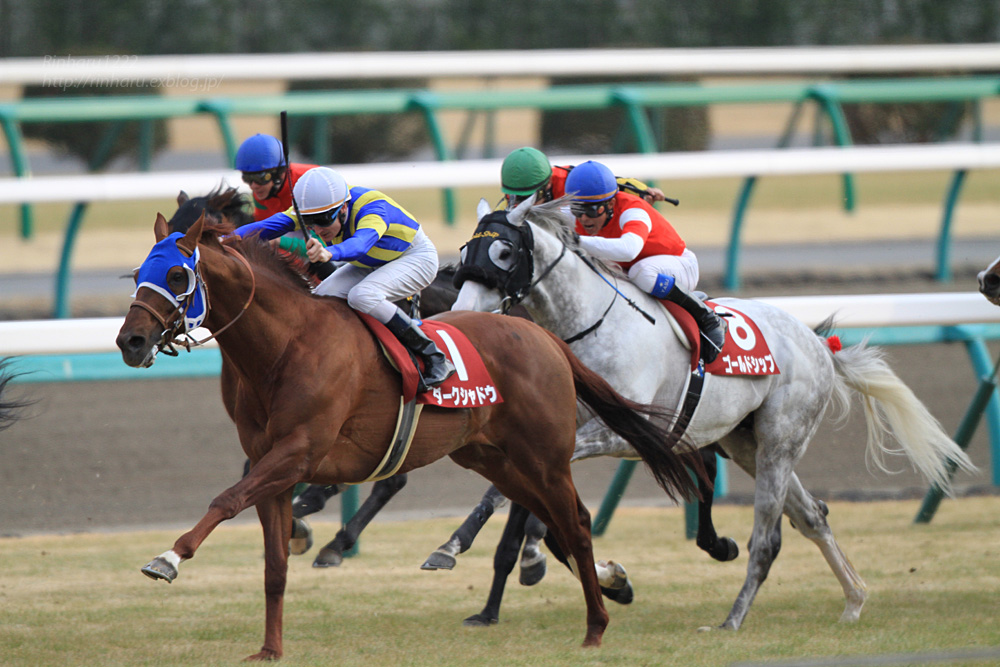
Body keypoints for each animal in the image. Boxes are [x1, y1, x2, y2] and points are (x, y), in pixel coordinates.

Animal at [115, 215, 704, 664]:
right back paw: (606, 585)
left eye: (176, 272)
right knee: (559, 521)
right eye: (139, 272)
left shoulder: (297, 453)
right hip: (495, 460)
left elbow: (225, 499)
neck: (286, 346)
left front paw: (168, 557)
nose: (131, 341)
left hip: (545, 457)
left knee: (576, 524)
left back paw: (595, 627)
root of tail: (546, 338)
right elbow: (274, 567)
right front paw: (270, 649)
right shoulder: (272, 467)